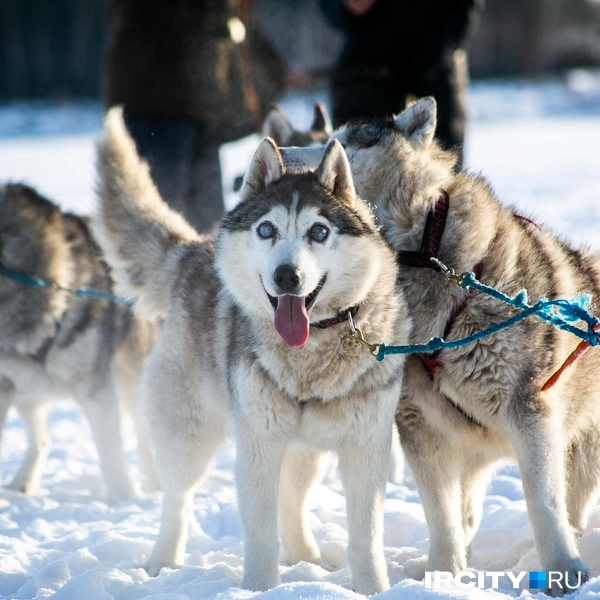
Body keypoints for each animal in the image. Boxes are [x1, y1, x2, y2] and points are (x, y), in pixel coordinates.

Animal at [0, 184, 158, 502]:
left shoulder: (95, 387)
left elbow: (111, 451)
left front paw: (122, 499)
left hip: (130, 378)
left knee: (145, 438)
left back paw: (154, 487)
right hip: (28, 390)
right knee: (42, 440)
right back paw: (22, 483)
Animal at [96, 108, 410, 596]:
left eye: (319, 231)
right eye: (266, 230)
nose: (287, 276)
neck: (310, 355)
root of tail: (195, 251)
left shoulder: (365, 447)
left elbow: (366, 536)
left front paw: (373, 588)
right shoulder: (258, 445)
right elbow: (260, 535)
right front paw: (260, 588)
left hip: (304, 452)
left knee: (292, 502)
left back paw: (308, 558)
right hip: (188, 436)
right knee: (177, 499)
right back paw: (162, 562)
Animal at [328, 96, 596, 592]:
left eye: (340, 143)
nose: (282, 152)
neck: (429, 259)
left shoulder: (530, 414)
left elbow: (545, 504)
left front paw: (563, 573)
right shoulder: (420, 427)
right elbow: (442, 515)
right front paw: (442, 574)